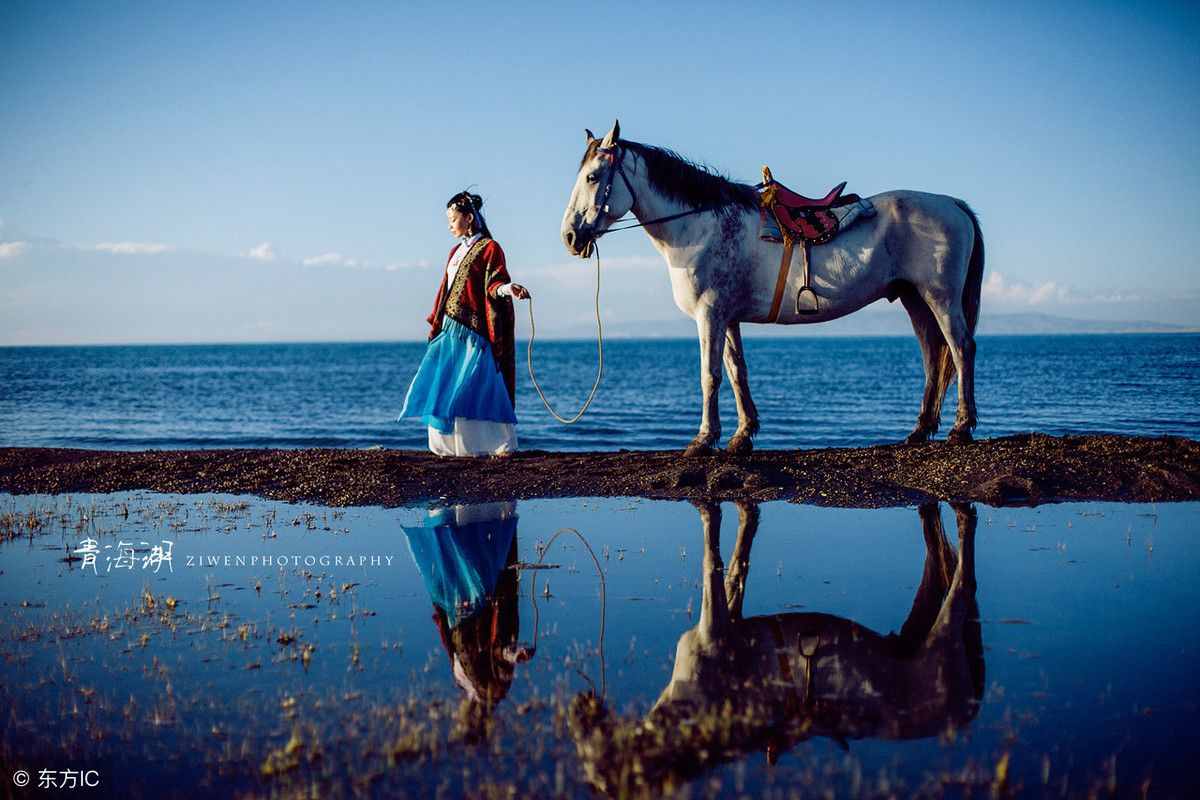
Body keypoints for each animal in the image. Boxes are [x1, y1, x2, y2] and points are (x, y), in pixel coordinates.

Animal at [561, 121, 984, 453]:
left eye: (593, 177)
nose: (570, 236)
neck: (701, 225)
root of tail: (953, 204)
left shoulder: (709, 315)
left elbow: (709, 375)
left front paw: (703, 440)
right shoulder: (727, 317)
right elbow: (736, 372)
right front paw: (742, 435)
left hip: (941, 297)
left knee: (960, 348)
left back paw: (961, 428)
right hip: (914, 297)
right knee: (932, 355)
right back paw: (920, 430)